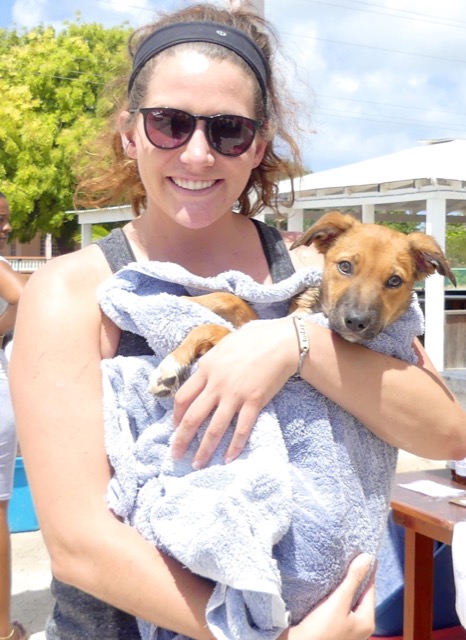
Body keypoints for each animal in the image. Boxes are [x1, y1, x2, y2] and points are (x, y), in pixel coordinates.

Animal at [150, 211, 456, 396]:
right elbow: (231, 299)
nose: (356, 323)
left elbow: (212, 328)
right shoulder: (261, 324)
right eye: (345, 266)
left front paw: (170, 367)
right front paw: (188, 299)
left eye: (394, 281)